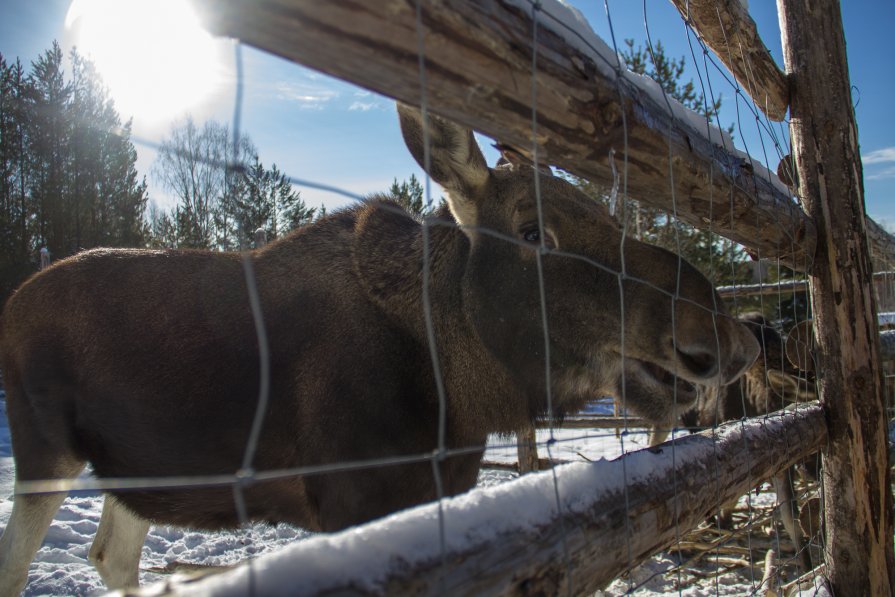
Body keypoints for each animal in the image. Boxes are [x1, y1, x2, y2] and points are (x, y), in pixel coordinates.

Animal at [0, 103, 760, 592]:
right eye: (532, 230)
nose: (718, 333)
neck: (457, 394)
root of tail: (13, 301)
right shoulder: (353, 502)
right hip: (45, 450)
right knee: (20, 562)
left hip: (139, 470)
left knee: (110, 555)